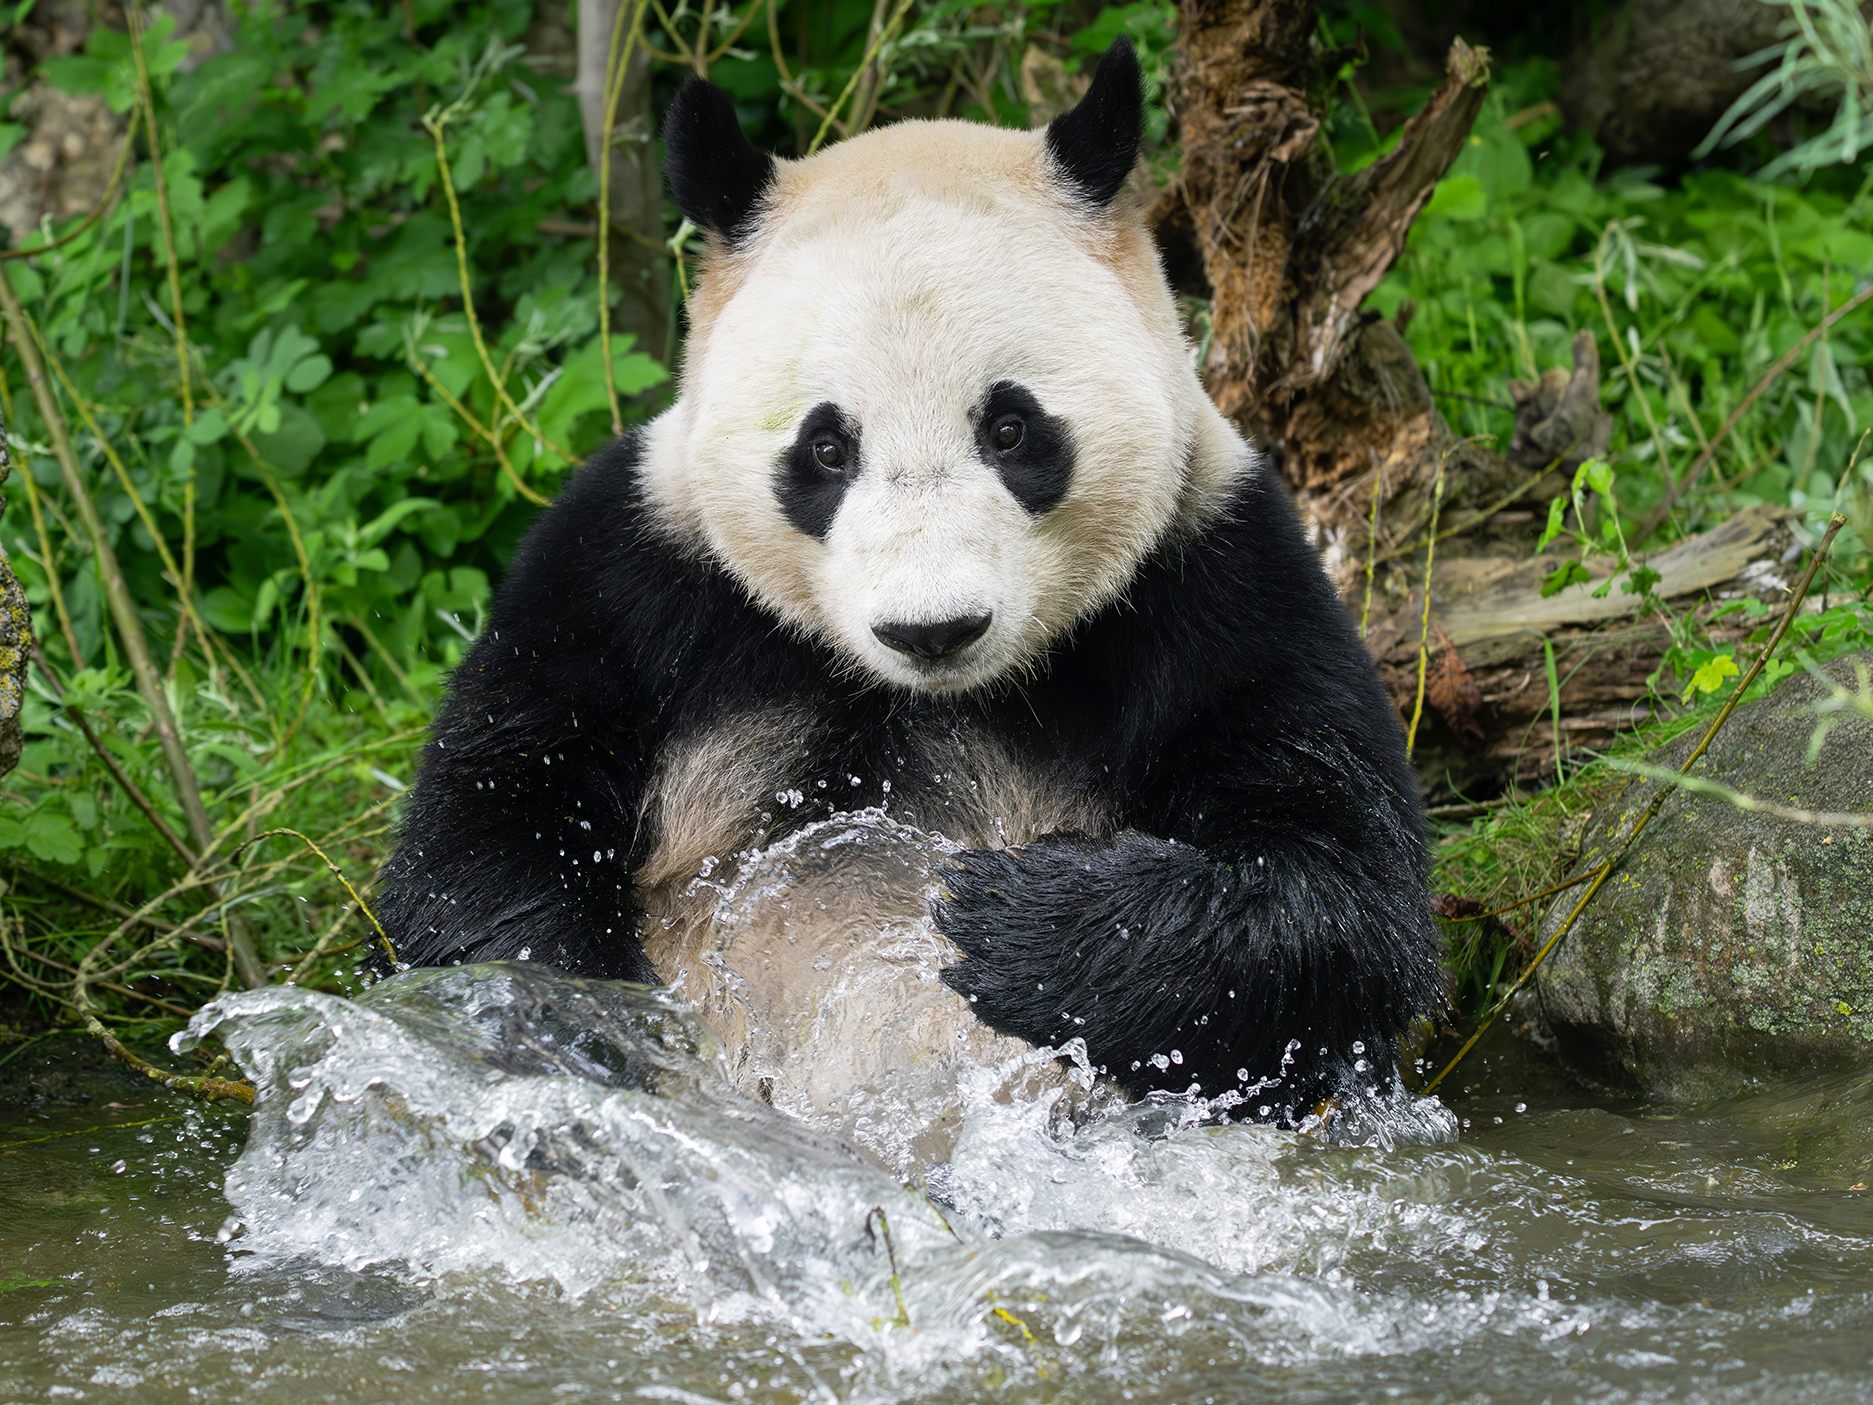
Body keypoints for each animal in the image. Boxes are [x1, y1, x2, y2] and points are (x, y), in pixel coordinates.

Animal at [373, 38, 1441, 1159]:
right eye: (826, 447)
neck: (919, 695)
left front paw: (1014, 915)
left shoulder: (1215, 580)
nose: (933, 629)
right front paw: (582, 1018)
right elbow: (490, 827)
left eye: (1011, 429)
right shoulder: (629, 574)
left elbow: (1338, 886)